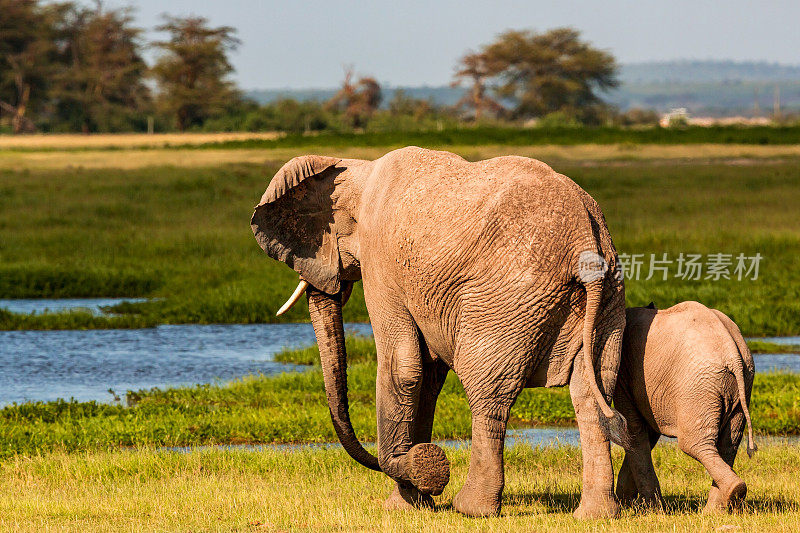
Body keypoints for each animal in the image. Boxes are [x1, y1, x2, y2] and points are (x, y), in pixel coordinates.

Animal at [253, 148, 628, 516]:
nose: (419, 461)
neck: (357, 166)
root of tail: (584, 236)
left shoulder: (381, 262)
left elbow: (403, 364)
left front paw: (412, 489)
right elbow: (428, 373)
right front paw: (409, 503)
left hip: (508, 297)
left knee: (487, 392)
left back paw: (472, 508)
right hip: (608, 297)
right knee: (591, 393)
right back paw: (595, 515)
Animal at [612, 300, 756, 512]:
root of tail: (734, 355)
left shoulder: (625, 374)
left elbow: (635, 431)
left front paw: (647, 509)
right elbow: (646, 434)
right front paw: (628, 503)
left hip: (698, 387)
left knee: (693, 443)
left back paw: (723, 500)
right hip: (741, 385)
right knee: (728, 444)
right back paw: (717, 508)